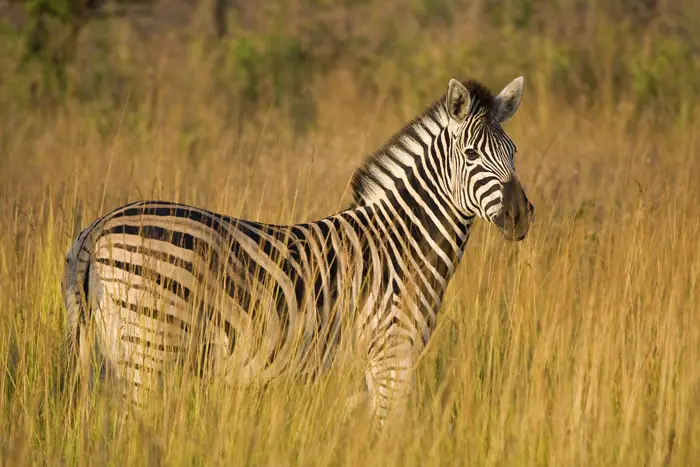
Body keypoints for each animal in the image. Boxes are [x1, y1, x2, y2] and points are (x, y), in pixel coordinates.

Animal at [63, 77, 532, 428]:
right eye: (470, 154)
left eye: (514, 152)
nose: (520, 216)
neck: (404, 241)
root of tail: (98, 227)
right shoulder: (392, 354)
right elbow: (391, 435)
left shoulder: (363, 369)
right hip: (150, 352)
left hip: (109, 355)